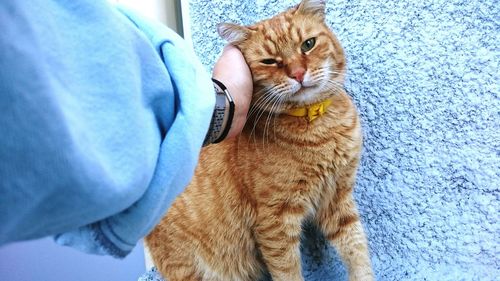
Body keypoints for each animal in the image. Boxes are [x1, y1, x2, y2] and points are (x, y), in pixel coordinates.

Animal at [146, 0, 374, 278]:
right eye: (269, 61)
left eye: (308, 44)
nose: (298, 73)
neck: (317, 127)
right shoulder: (275, 221)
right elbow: (288, 272)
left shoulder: (337, 198)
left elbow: (357, 250)